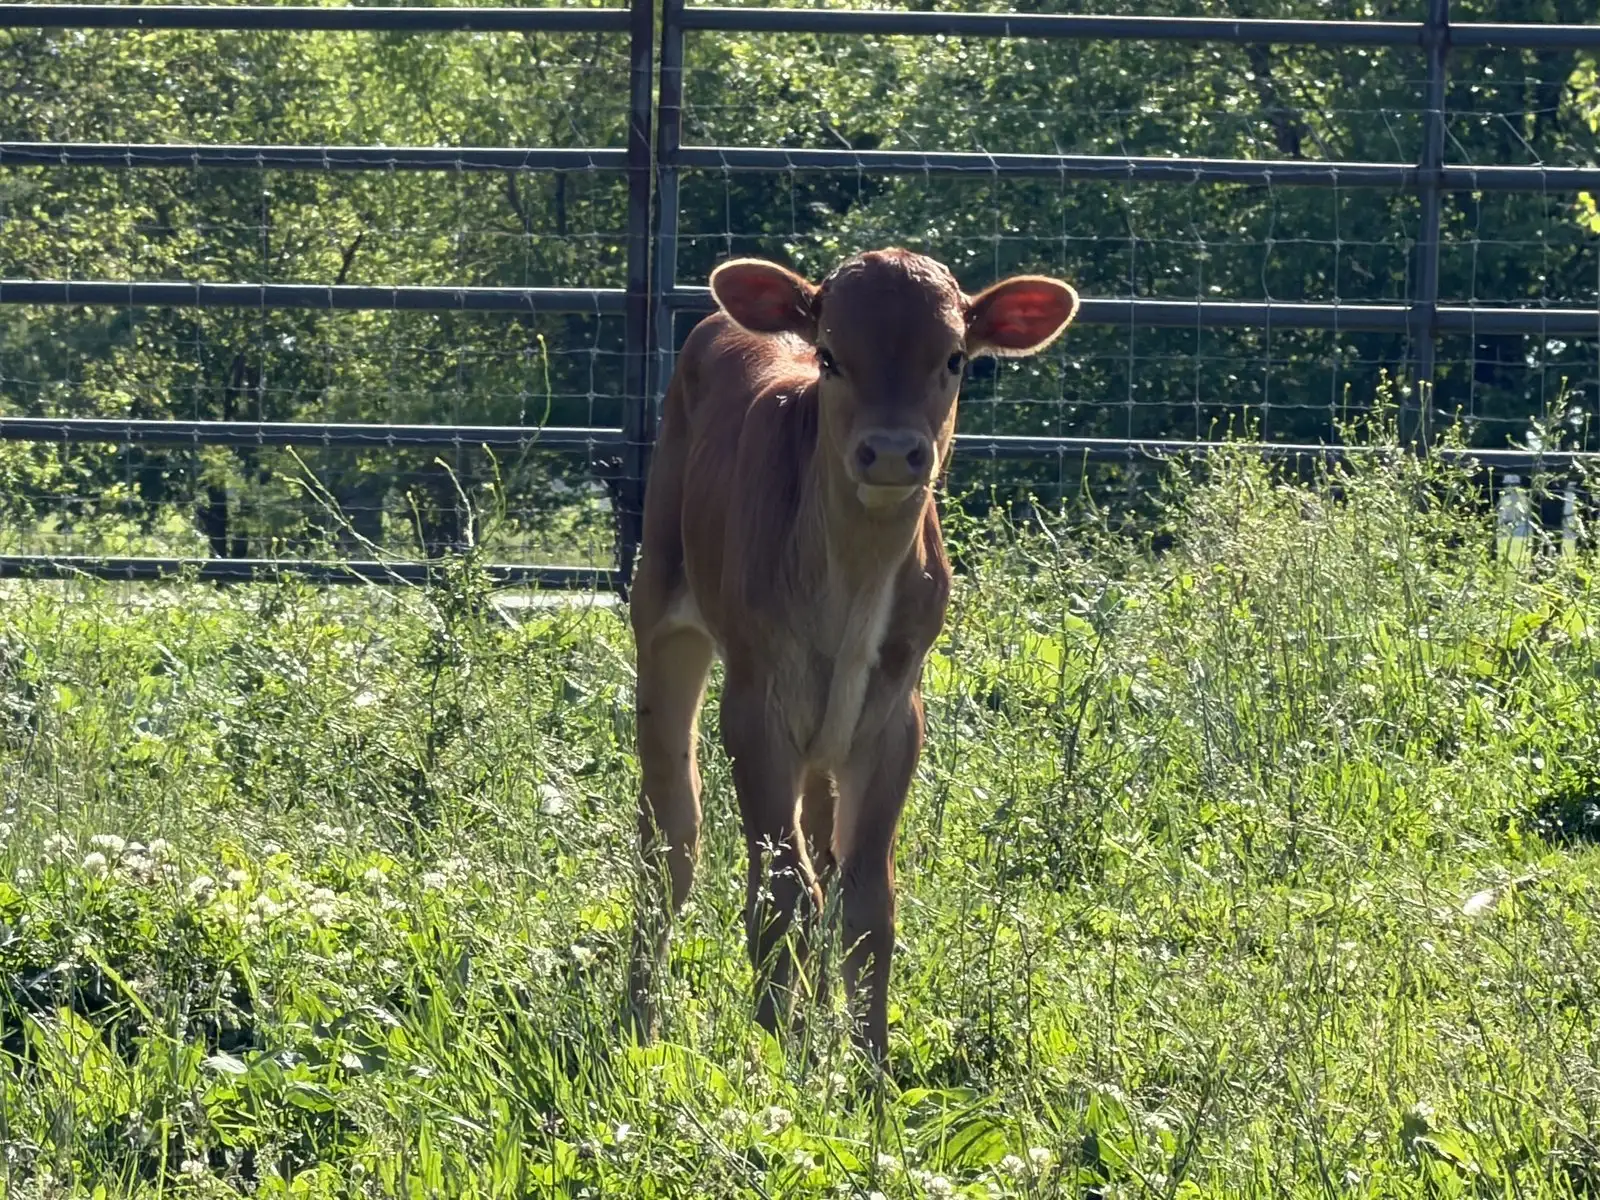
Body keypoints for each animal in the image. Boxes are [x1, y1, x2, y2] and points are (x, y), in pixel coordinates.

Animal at [625, 247, 1079, 1064]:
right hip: (663, 612)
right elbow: (780, 894)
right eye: (833, 356)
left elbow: (867, 903)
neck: (855, 580)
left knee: (822, 853)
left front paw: (865, 1072)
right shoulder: (756, 708)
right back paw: (643, 1017)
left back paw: (812, 1030)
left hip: (825, 732)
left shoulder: (895, 716)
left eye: (955, 357)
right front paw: (774, 1060)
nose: (893, 451)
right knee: (672, 836)